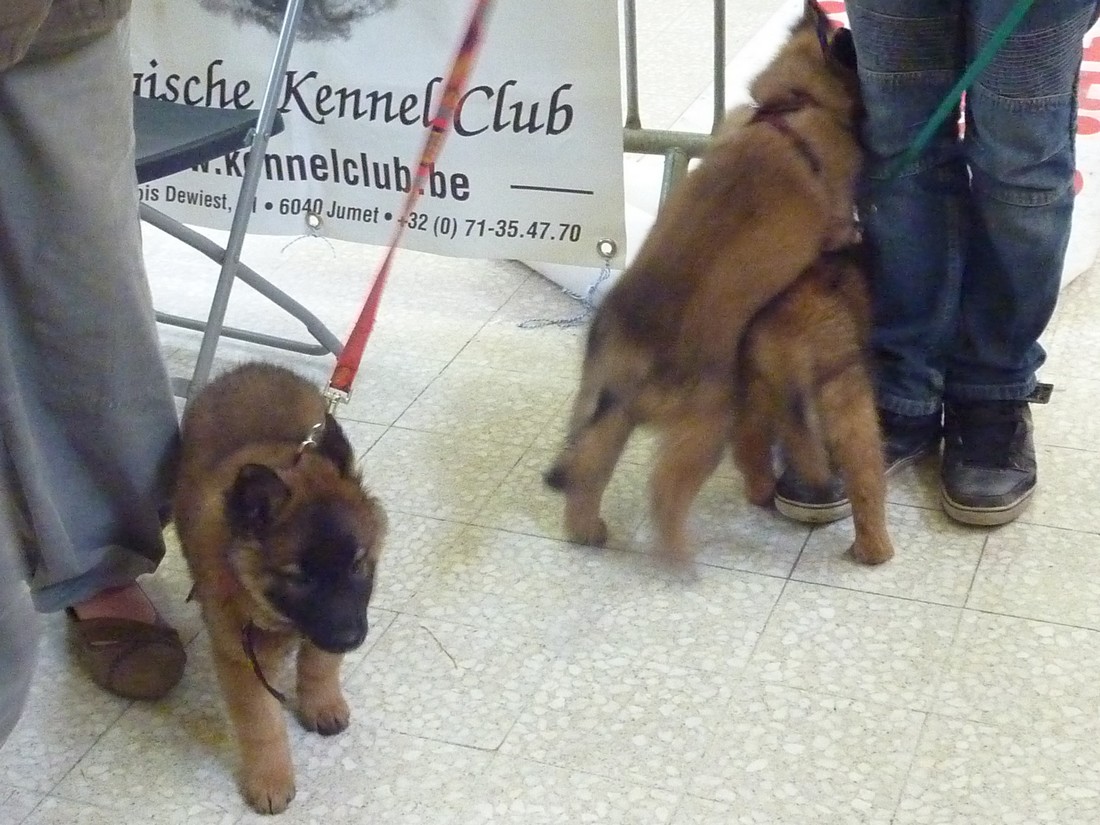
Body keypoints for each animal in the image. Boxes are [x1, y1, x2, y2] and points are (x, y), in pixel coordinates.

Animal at [174, 365, 387, 818]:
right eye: (301, 578)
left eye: (357, 564)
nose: (351, 639)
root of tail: (252, 366)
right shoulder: (241, 656)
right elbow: (262, 724)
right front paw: (270, 780)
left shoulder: (327, 627)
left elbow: (320, 664)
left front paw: (321, 704)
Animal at [543, 0, 866, 567]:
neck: (792, 105)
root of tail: (630, 345)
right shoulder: (832, 216)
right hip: (708, 421)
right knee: (666, 489)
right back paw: (676, 554)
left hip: (608, 413)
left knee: (588, 470)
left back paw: (588, 532)